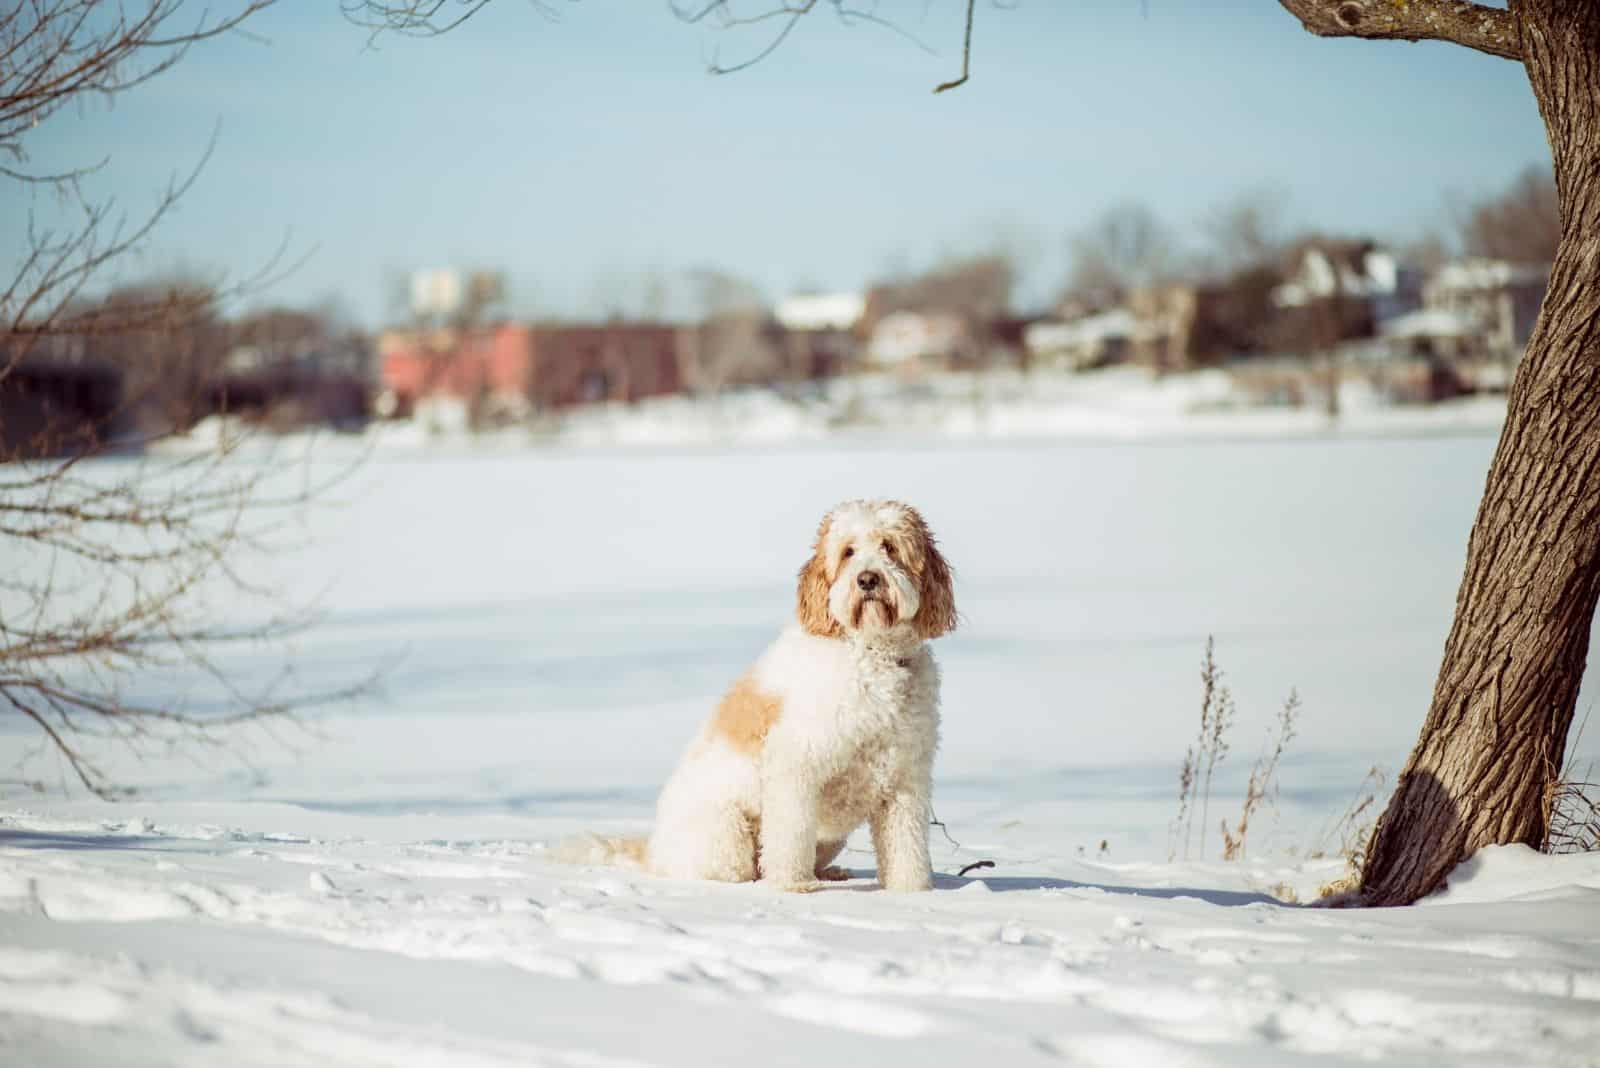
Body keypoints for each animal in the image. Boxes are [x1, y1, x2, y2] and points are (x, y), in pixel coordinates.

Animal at [572, 502, 953, 895]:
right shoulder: (796, 764)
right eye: (848, 551)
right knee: (736, 870)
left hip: (830, 839)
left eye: (889, 547)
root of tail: (653, 852)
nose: (867, 579)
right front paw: (792, 885)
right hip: (727, 836)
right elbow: (790, 833)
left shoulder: (905, 777)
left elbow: (906, 843)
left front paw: (911, 889)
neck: (872, 654)